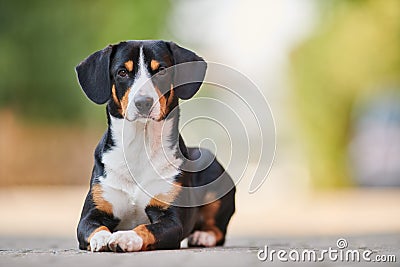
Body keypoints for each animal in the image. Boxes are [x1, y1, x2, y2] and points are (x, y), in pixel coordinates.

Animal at [76, 40, 234, 253]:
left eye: (161, 70)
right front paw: (102, 238)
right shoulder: (92, 213)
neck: (139, 147)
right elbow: (94, 227)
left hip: (214, 172)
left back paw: (203, 236)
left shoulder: (171, 219)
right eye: (122, 72)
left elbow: (145, 228)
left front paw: (125, 236)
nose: (143, 102)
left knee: (218, 231)